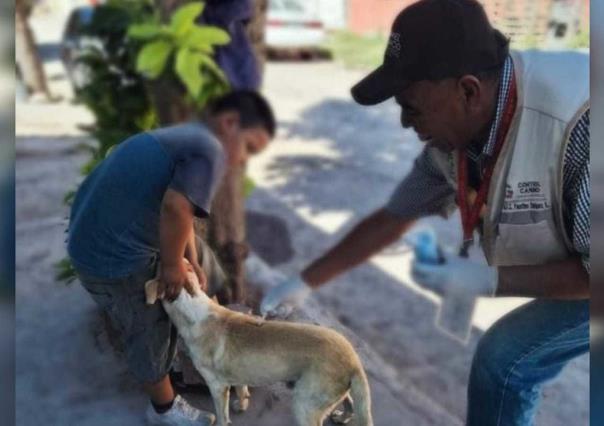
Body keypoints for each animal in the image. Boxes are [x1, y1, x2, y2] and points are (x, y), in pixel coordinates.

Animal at [146, 260, 372, 426]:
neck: (192, 307)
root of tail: (354, 362)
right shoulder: (236, 373)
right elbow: (241, 389)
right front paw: (242, 405)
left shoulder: (217, 386)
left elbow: (222, 416)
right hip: (332, 393)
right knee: (350, 402)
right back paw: (344, 417)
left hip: (304, 404)